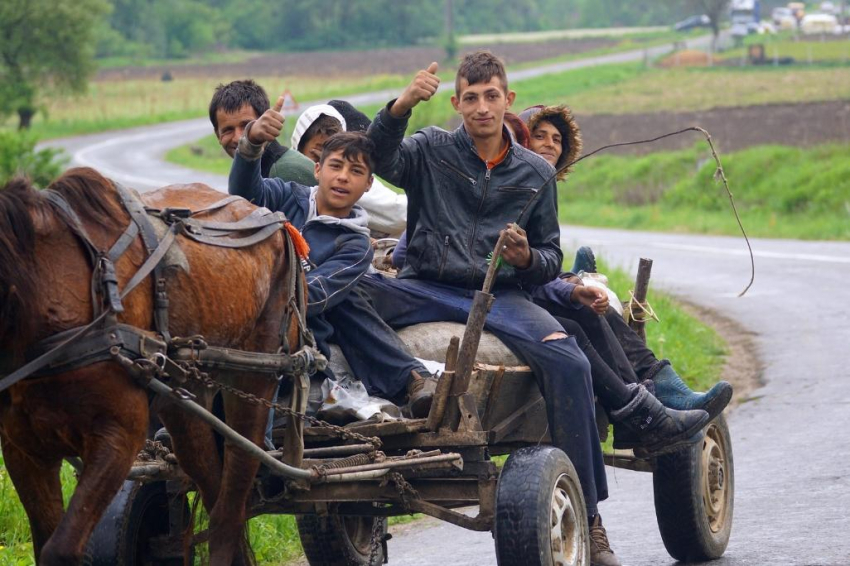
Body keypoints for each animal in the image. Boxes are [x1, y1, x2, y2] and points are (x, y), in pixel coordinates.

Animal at [0, 166, 304, 564]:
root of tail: (277, 222)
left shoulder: (117, 435)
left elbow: (60, 549)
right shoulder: (23, 449)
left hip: (254, 378)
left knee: (230, 508)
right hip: (186, 398)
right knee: (214, 491)